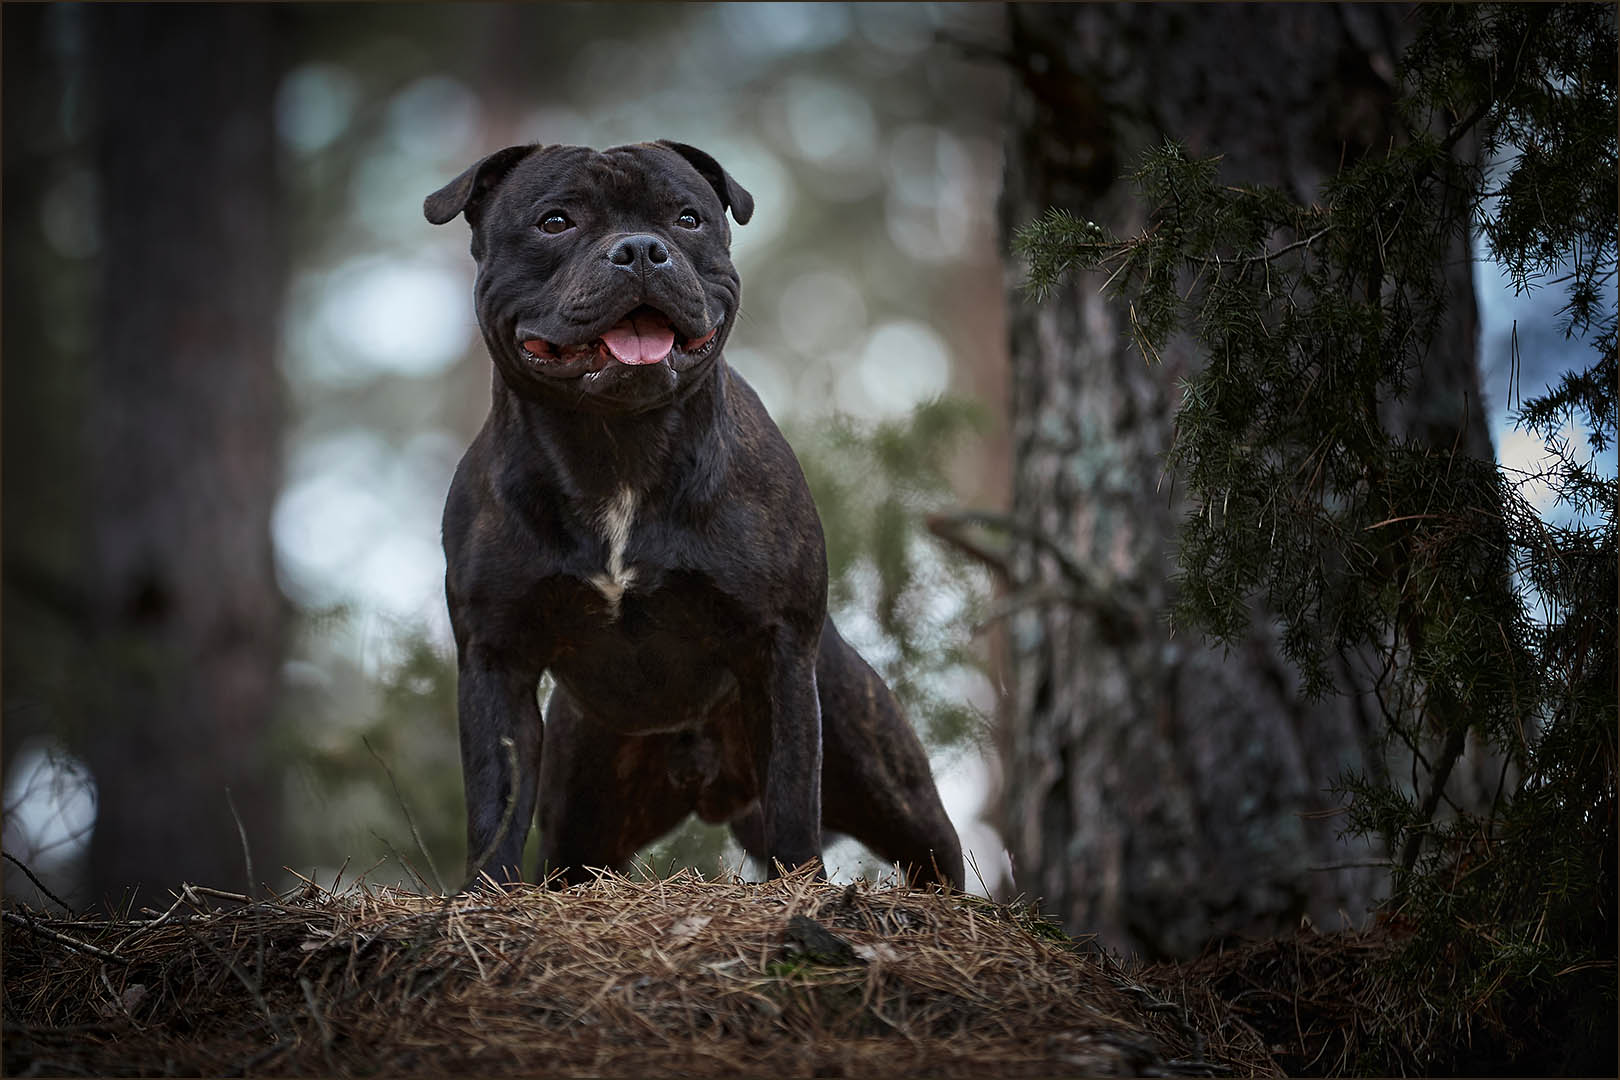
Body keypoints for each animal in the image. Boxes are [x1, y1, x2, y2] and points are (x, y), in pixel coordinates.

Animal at [427, 139, 959, 893]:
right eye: (555, 221)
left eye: (687, 218)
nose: (641, 250)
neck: (617, 444)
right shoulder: (495, 660)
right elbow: (493, 803)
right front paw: (487, 895)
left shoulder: (776, 653)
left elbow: (793, 796)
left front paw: (801, 892)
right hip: (583, 816)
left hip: (883, 777)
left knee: (933, 851)